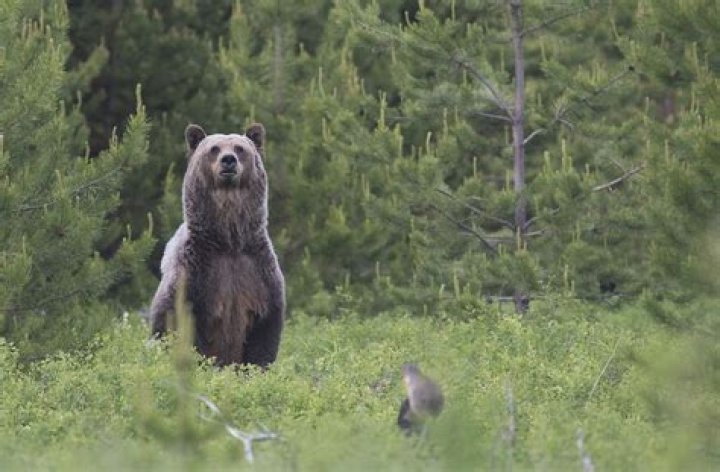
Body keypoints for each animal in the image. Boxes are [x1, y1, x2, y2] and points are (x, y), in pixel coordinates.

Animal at [149, 123, 285, 368]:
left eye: (240, 148)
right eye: (214, 148)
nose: (228, 160)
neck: (228, 242)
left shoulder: (258, 272)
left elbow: (263, 337)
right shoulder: (194, 274)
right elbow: (172, 322)